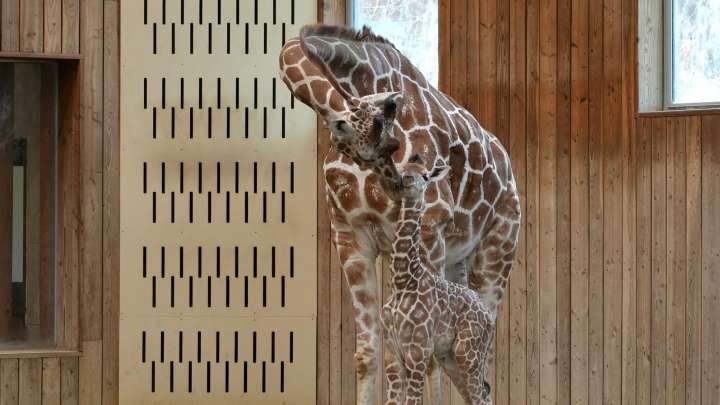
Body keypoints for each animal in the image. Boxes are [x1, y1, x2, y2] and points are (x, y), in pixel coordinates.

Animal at [382, 156, 494, 405]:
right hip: (449, 357)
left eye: (425, 175)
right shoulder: (391, 355)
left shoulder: (418, 352)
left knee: (481, 397)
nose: (407, 180)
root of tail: (489, 318)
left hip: (468, 352)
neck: (402, 280)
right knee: (481, 395)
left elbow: (412, 401)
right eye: (403, 168)